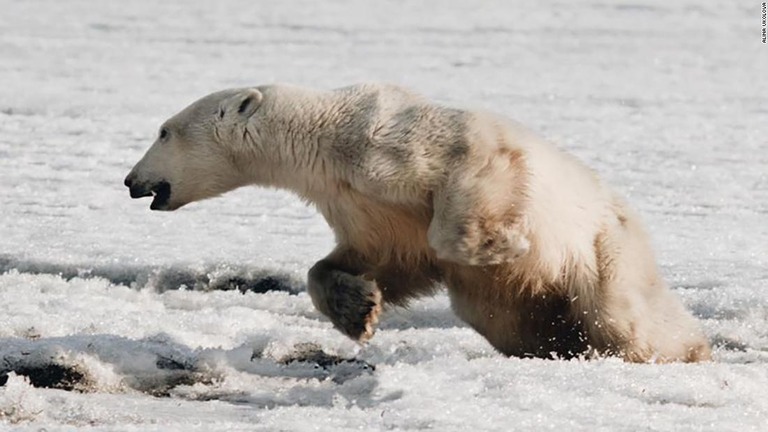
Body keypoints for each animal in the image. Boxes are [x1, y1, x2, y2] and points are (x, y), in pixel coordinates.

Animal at [123, 83, 712, 362]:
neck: (325, 139)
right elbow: (377, 257)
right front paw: (359, 312)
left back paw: (678, 350)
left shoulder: (400, 145)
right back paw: (552, 343)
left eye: (163, 131)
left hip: (605, 246)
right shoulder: (357, 199)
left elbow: (469, 178)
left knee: (623, 315)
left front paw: (497, 245)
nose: (131, 181)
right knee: (503, 316)